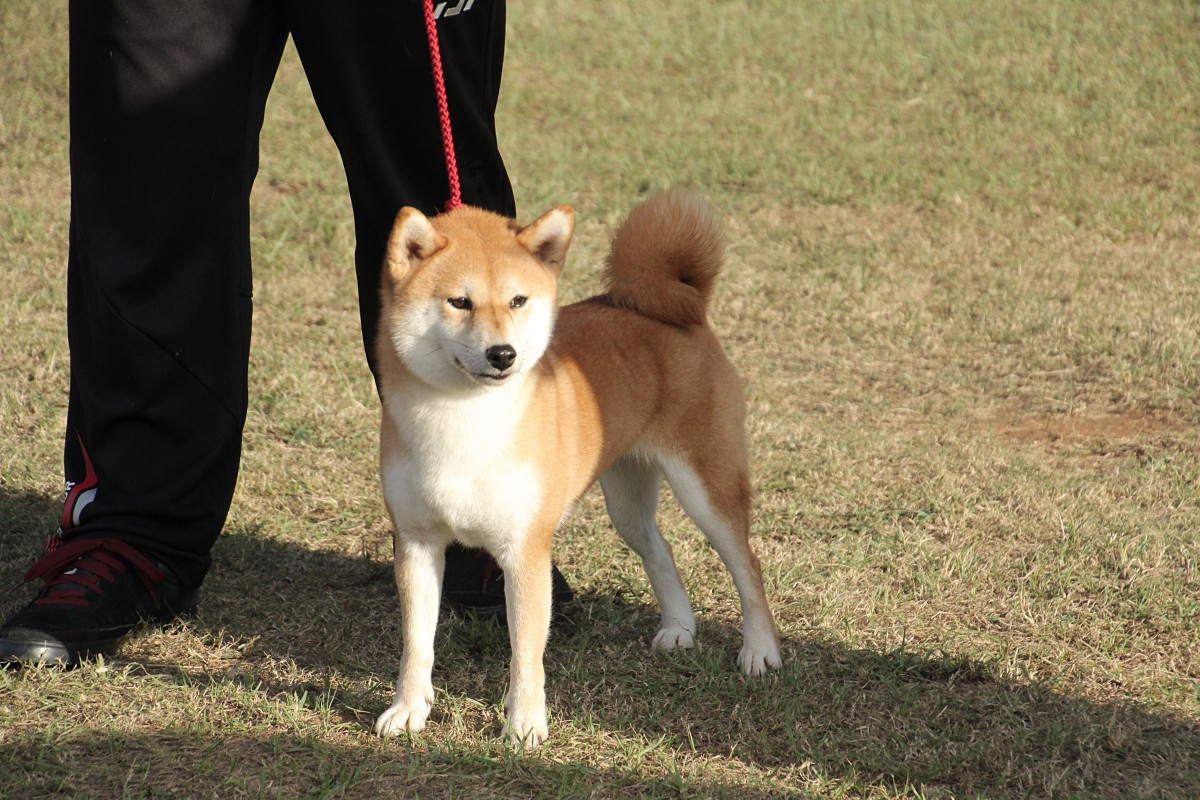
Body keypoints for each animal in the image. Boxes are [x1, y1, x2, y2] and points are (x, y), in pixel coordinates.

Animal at [376, 189, 787, 753]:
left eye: (518, 301)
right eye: (459, 302)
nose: (502, 354)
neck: (461, 420)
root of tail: (681, 307)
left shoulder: (525, 551)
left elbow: (526, 653)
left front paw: (524, 725)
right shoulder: (416, 541)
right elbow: (417, 644)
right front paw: (407, 710)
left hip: (707, 486)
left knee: (748, 564)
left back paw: (760, 650)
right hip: (626, 504)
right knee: (661, 551)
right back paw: (679, 628)